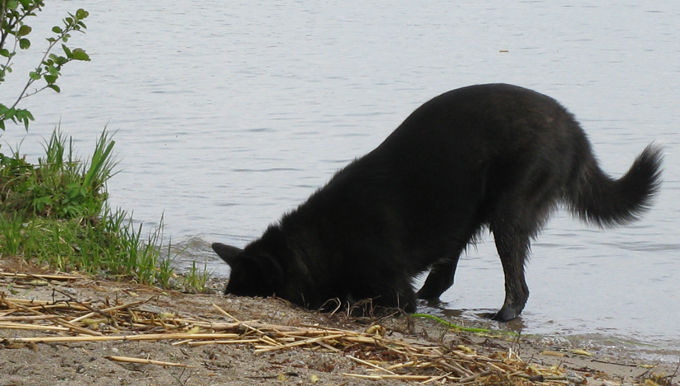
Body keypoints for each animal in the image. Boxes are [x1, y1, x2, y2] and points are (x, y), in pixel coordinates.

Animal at [211, 83, 660, 320]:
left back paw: (500, 316)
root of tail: (573, 128)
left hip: (507, 216)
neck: (318, 241)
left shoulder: (393, 293)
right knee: (444, 279)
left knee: (518, 289)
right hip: (468, 216)